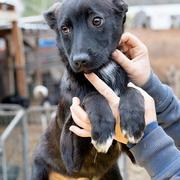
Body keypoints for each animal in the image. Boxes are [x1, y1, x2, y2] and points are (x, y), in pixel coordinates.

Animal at [31, 0, 145, 179]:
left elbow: (133, 90)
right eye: (65, 29)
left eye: (96, 21)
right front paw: (102, 128)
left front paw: (133, 121)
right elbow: (92, 95)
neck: (103, 71)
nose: (79, 61)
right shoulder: (70, 156)